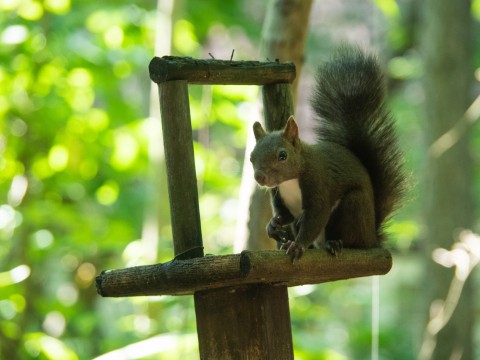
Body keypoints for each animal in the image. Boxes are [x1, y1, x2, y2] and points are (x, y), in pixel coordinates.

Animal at [251, 47, 404, 262]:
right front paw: (273, 227)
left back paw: (336, 243)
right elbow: (285, 216)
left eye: (282, 156)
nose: (260, 177)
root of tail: (372, 238)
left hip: (352, 207)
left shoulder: (318, 183)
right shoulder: (279, 196)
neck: (290, 181)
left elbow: (316, 216)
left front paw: (297, 246)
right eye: (251, 157)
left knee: (349, 239)